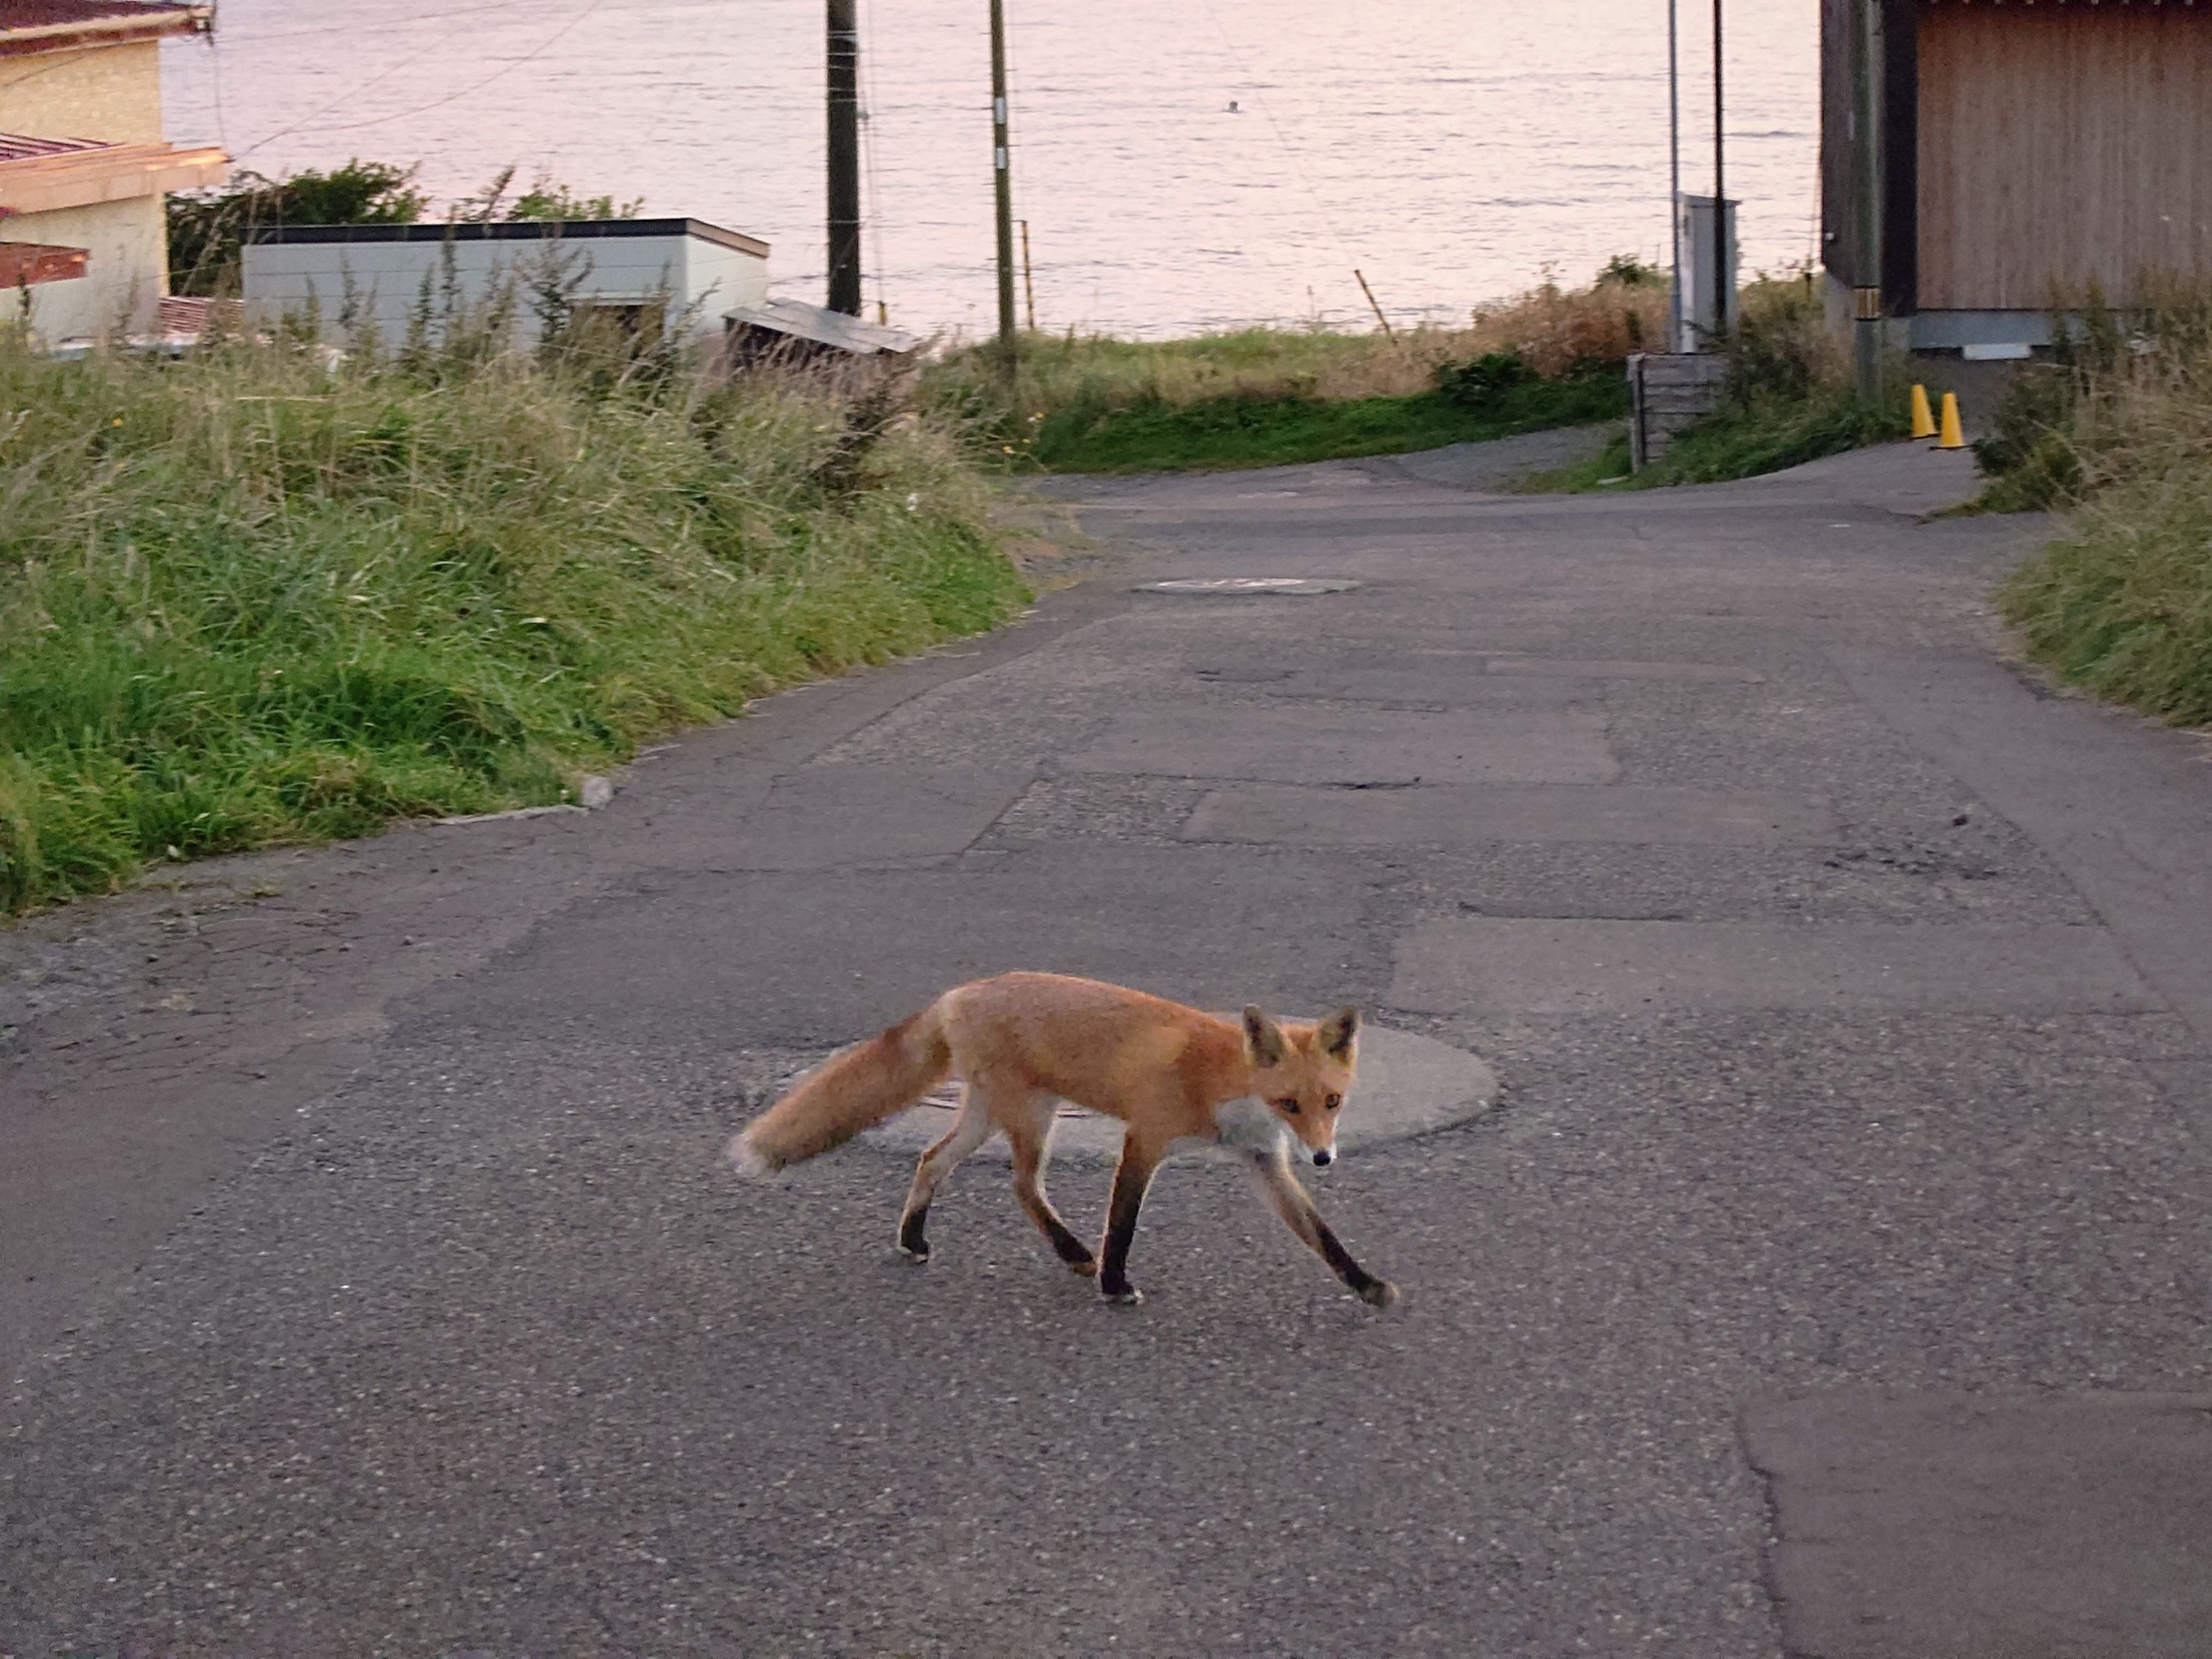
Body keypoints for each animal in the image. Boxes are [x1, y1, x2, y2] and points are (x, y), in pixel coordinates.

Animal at [727, 971, 1398, 1308]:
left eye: (1332, 1102)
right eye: (1290, 1103)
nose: (1323, 1156)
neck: (1220, 1080)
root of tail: (960, 991)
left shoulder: (1264, 1160)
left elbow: (1322, 1234)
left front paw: (1366, 1285)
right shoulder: (1145, 1138)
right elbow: (1122, 1222)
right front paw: (1115, 1284)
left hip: (989, 1114)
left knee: (930, 1159)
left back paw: (914, 1238)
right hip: (1031, 1116)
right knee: (1023, 1186)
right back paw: (1076, 1254)